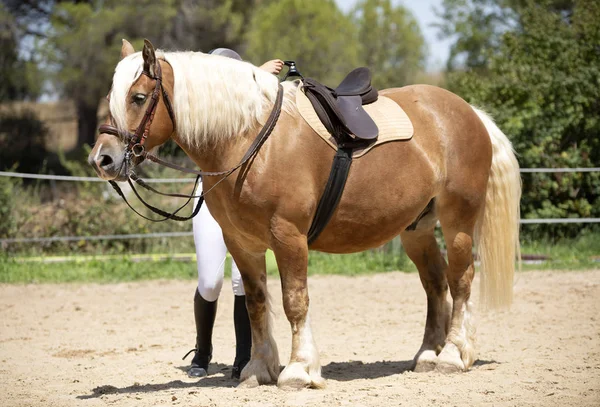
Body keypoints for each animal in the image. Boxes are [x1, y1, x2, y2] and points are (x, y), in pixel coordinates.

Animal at [88, 39, 520, 390]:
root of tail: (469, 112)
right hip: (417, 229)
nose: (102, 159)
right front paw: (258, 369)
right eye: (110, 95)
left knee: (460, 280)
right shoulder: (241, 243)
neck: (250, 139)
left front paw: (298, 370)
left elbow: (294, 300)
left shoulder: (288, 236)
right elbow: (256, 302)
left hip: (458, 221)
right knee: (434, 283)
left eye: (138, 97)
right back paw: (428, 354)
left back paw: (453, 355)